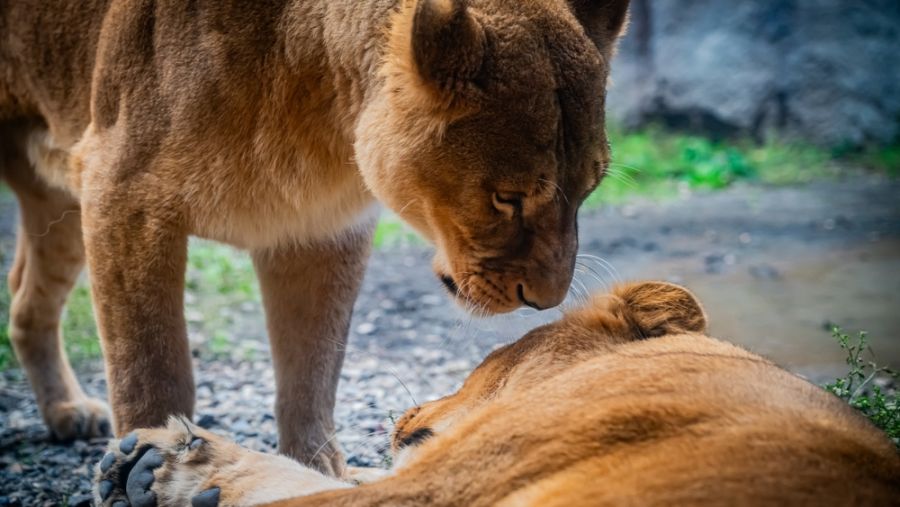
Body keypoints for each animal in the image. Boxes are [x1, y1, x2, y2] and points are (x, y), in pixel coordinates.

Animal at [0, 0, 629, 474]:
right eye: (508, 197)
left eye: (590, 186)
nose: (545, 302)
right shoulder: (123, 194)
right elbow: (150, 364)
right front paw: (146, 464)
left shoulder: (319, 232)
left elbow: (314, 367)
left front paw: (315, 470)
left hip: (62, 206)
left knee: (27, 299)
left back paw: (66, 410)